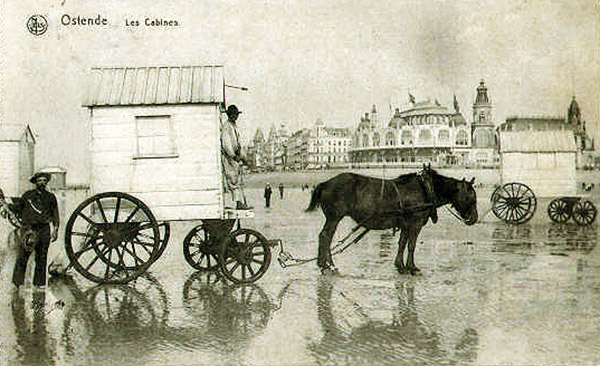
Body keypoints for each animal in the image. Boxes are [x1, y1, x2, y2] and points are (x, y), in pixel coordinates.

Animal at [304, 166, 478, 274]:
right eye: (470, 197)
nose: (474, 218)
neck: (425, 189)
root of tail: (325, 183)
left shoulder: (406, 224)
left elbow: (402, 244)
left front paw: (401, 266)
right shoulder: (415, 224)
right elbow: (411, 246)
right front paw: (411, 267)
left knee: (325, 237)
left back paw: (325, 263)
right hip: (334, 217)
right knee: (326, 236)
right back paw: (327, 265)